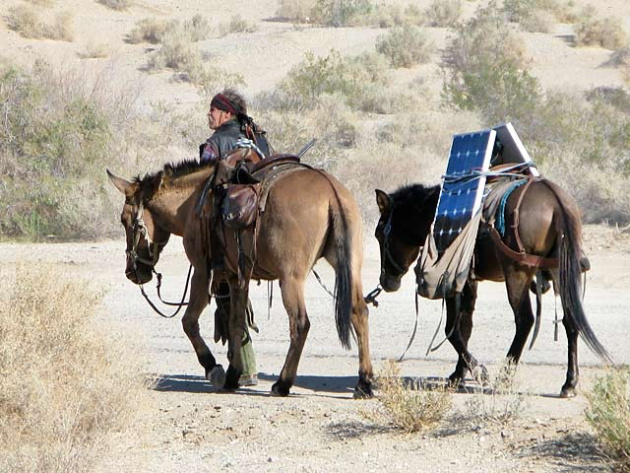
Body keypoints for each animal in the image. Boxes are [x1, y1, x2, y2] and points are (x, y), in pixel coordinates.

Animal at [107, 158, 373, 397]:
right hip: (350, 265)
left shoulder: (203, 273)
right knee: (358, 311)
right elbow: (236, 323)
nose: (132, 272)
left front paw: (213, 368)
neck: (193, 202)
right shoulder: (235, 277)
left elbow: (189, 322)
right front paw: (233, 375)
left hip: (291, 278)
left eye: (124, 220)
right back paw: (364, 382)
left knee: (300, 323)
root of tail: (331, 191)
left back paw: (283, 383)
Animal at [374, 179, 611, 397]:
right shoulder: (470, 282)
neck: (436, 214)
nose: (386, 281)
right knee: (570, 321)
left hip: (517, 275)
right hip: (561, 273)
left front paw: (478, 370)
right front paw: (459, 373)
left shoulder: (452, 280)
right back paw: (569, 383)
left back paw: (505, 376)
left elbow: (452, 329)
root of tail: (556, 200)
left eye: (379, 234)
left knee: (525, 320)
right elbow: (465, 327)